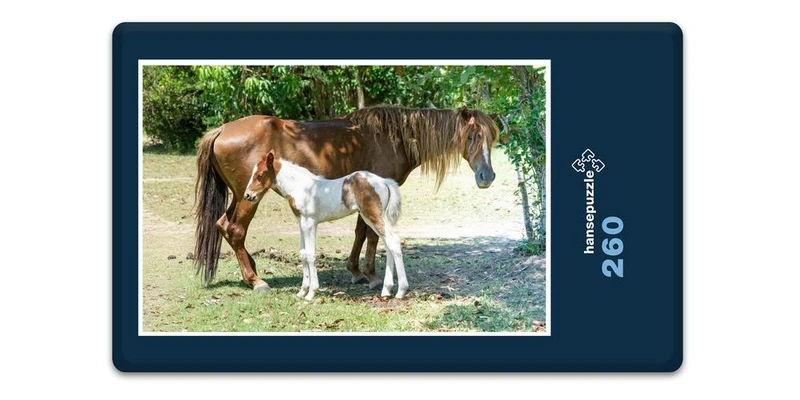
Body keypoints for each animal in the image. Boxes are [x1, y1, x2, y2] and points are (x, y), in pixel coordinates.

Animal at [243, 150, 406, 300]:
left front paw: (311, 293)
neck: (300, 187)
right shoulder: (301, 223)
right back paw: (386, 289)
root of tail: (384, 181)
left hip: (373, 216)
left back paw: (401, 291)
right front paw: (302, 292)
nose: (248, 195)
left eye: (261, 174)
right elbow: (303, 254)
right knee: (388, 244)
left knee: (393, 241)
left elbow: (310, 255)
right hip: (370, 218)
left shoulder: (309, 223)